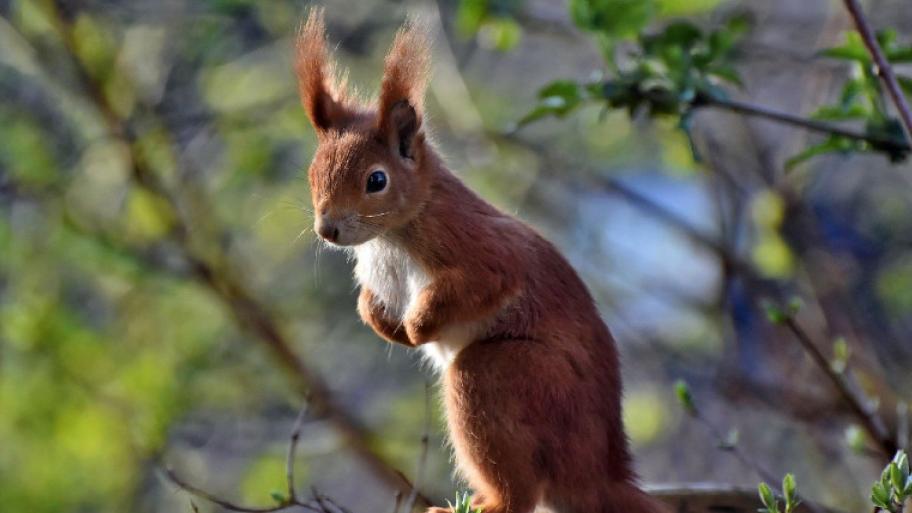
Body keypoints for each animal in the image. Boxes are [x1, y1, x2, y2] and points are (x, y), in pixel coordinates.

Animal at [294, 10, 669, 513]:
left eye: (376, 180)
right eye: (313, 172)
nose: (327, 230)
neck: (388, 237)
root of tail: (597, 474)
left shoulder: (478, 247)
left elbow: (484, 280)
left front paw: (417, 327)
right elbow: (369, 304)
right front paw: (386, 324)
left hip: (503, 378)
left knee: (519, 489)